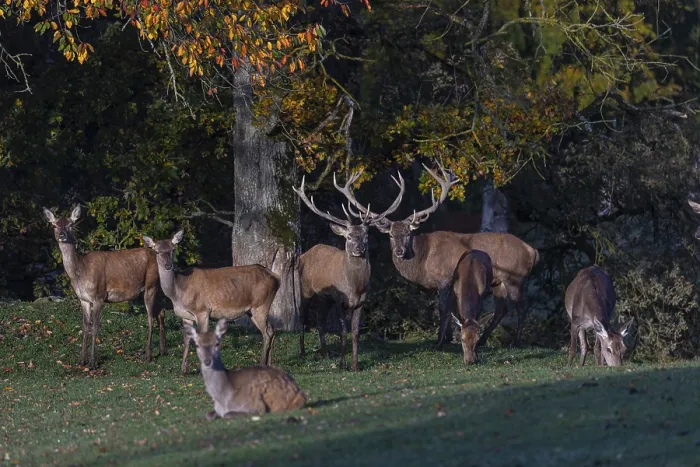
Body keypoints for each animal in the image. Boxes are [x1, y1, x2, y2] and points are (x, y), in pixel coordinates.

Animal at [42, 205, 166, 369]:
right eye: (55, 225)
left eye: (70, 224)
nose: (62, 235)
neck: (81, 271)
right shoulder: (83, 299)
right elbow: (85, 326)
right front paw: (81, 360)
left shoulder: (99, 296)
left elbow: (95, 327)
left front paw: (92, 363)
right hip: (155, 288)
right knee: (161, 312)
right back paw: (162, 351)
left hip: (150, 285)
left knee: (150, 317)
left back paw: (148, 355)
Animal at [142, 229, 279, 374]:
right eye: (157, 251)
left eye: (173, 249)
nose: (168, 265)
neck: (177, 293)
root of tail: (276, 278)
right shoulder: (185, 316)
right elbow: (186, 340)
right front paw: (183, 370)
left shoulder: (202, 310)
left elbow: (202, 340)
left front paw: (203, 370)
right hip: (252, 310)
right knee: (272, 330)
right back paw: (270, 364)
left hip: (261, 304)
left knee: (267, 332)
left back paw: (262, 363)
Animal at [293, 171, 405, 371]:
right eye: (349, 236)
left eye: (366, 235)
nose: (359, 248)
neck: (354, 286)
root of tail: (306, 253)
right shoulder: (340, 300)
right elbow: (343, 332)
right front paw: (342, 364)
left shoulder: (361, 302)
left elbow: (355, 333)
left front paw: (355, 365)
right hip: (305, 289)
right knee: (302, 316)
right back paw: (302, 351)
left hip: (324, 298)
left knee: (320, 320)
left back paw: (325, 353)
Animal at [342, 161, 539, 349]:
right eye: (391, 235)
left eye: (408, 233)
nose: (399, 251)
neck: (423, 260)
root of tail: (532, 251)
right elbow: (451, 311)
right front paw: (448, 339)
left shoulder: (445, 278)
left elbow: (443, 310)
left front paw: (439, 342)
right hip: (499, 281)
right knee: (502, 310)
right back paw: (483, 341)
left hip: (515, 277)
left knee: (522, 307)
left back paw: (516, 342)